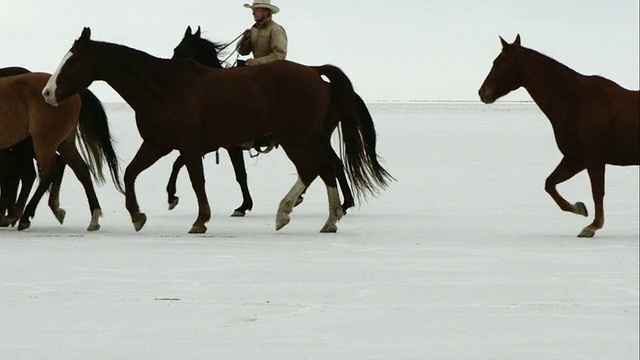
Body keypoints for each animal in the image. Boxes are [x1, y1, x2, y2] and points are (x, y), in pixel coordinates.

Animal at [0, 69, 122, 231]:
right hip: (64, 143)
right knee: (81, 170)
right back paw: (93, 217)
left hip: (44, 142)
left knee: (47, 173)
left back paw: (25, 216)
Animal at [43, 28, 390, 236]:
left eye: (71, 63)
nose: (47, 93)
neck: (162, 88)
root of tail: (315, 73)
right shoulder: (158, 144)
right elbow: (131, 173)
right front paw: (137, 215)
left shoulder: (190, 146)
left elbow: (197, 180)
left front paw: (200, 220)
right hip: (312, 138)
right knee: (328, 168)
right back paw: (330, 218)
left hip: (296, 139)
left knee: (313, 169)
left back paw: (286, 212)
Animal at [478, 33, 636, 236]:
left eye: (499, 63)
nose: (482, 92)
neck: (576, 102)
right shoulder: (575, 159)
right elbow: (550, 184)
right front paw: (579, 208)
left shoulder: (594, 158)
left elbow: (597, 192)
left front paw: (592, 226)